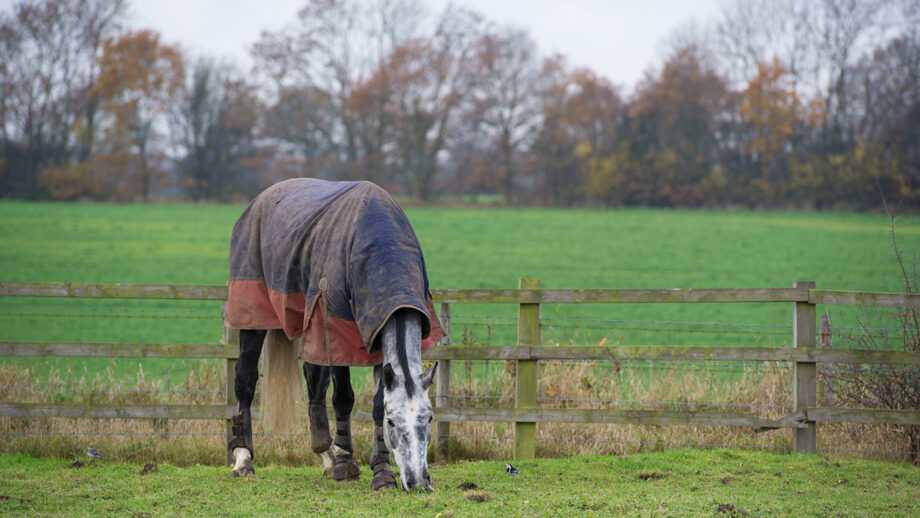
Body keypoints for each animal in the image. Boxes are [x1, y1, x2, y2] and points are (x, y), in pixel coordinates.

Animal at [221, 179, 440, 492]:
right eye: (392, 422)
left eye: (429, 418)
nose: (418, 481)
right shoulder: (336, 331)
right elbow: (344, 398)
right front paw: (347, 463)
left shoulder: (375, 331)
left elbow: (374, 403)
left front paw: (381, 472)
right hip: (253, 312)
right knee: (245, 380)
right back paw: (243, 460)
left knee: (314, 382)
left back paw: (326, 455)